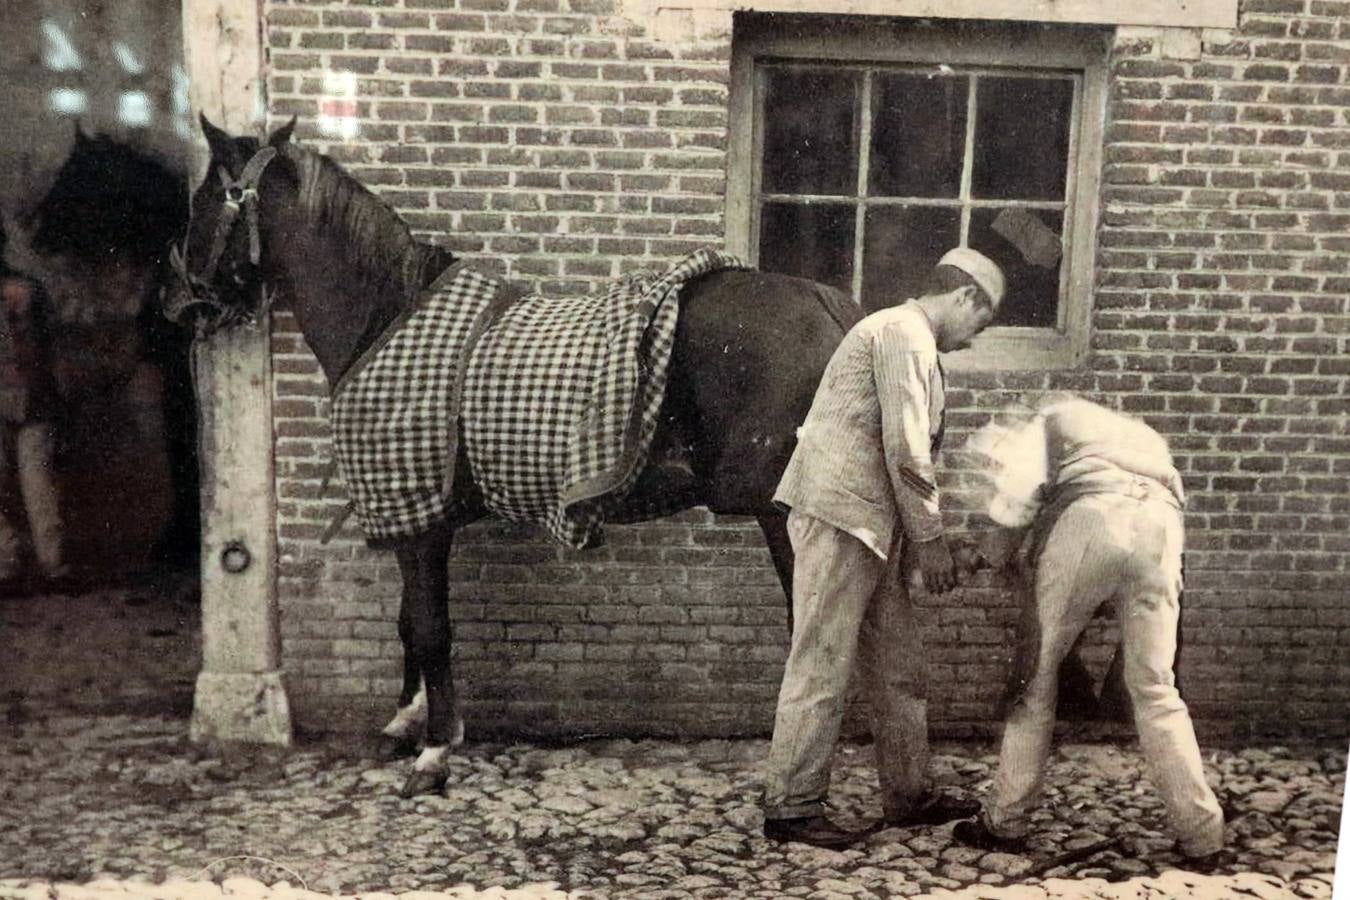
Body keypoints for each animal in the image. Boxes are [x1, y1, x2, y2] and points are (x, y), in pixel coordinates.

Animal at [165, 116, 862, 798]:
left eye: (204, 201)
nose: (172, 300)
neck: (387, 317)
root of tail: (832, 309)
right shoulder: (420, 516)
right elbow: (408, 621)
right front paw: (404, 723)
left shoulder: (416, 517)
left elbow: (430, 628)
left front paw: (435, 752)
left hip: (788, 518)